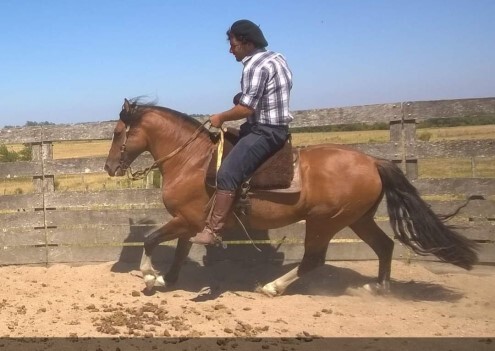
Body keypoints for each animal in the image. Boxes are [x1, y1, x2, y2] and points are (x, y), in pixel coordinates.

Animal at [105, 98, 480, 296]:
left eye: (119, 132)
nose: (109, 167)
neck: (192, 160)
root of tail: (373, 161)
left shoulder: (187, 219)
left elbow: (151, 240)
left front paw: (148, 276)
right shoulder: (191, 221)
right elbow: (180, 252)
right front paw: (166, 279)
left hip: (324, 222)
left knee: (314, 259)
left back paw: (273, 287)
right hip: (358, 219)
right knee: (384, 246)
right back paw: (378, 288)